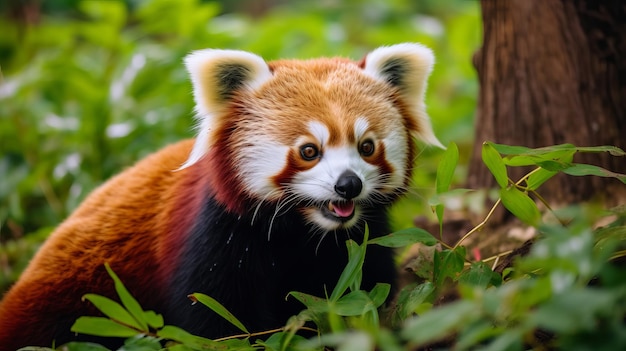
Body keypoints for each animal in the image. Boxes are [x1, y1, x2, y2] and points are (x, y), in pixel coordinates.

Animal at [0, 44, 438, 350]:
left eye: (367, 147)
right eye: (309, 150)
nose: (348, 185)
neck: (305, 231)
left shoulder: (365, 240)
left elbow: (368, 292)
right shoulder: (218, 235)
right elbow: (215, 318)